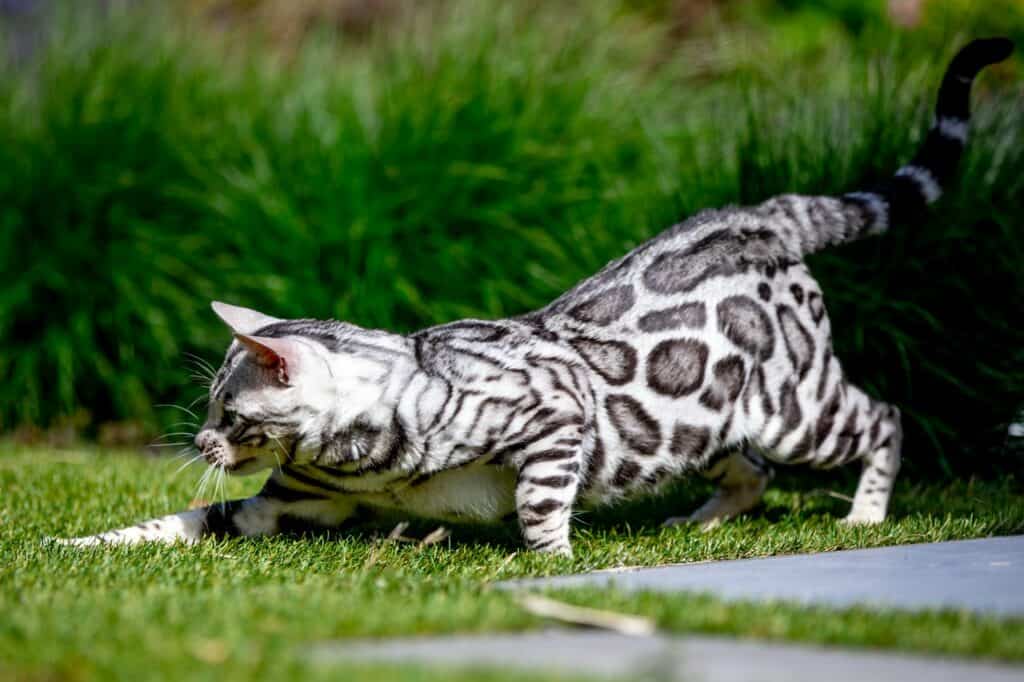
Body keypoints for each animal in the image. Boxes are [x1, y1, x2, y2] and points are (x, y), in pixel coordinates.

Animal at [59, 39, 1011, 552]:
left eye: (228, 412)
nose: (200, 441)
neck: (365, 456)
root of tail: (758, 215)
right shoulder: (277, 511)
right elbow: (168, 525)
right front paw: (72, 545)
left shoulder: (557, 416)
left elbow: (538, 501)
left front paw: (554, 562)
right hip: (697, 422)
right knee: (748, 470)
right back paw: (700, 522)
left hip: (794, 407)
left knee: (883, 417)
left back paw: (865, 515)